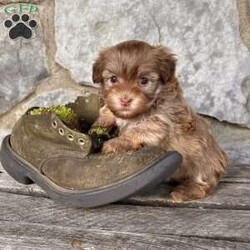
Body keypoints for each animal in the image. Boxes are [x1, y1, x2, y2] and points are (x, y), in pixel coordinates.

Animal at [92, 40, 229, 202]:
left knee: (204, 184)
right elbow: (109, 111)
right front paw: (101, 121)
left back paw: (184, 191)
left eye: (144, 81)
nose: (125, 100)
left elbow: (136, 131)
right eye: (113, 79)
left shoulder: (159, 123)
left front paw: (115, 143)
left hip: (203, 164)